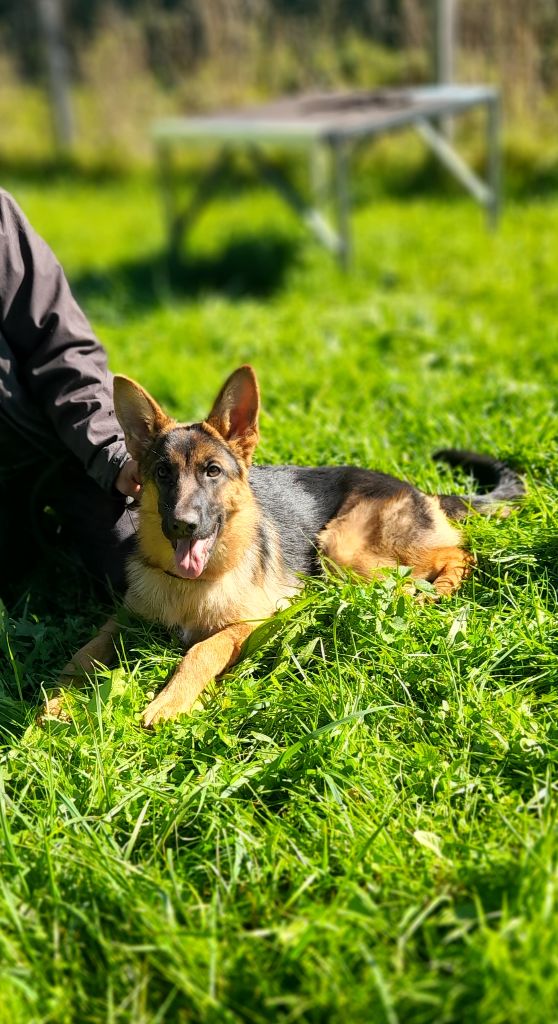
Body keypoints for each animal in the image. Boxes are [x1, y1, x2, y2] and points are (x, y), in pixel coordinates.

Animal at [46, 364, 522, 724]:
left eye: (212, 471)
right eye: (163, 473)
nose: (183, 525)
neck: (193, 585)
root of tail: (419, 490)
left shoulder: (253, 622)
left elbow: (202, 649)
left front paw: (170, 701)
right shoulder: (126, 618)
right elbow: (84, 651)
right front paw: (56, 698)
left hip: (341, 547)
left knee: (457, 553)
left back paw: (431, 590)